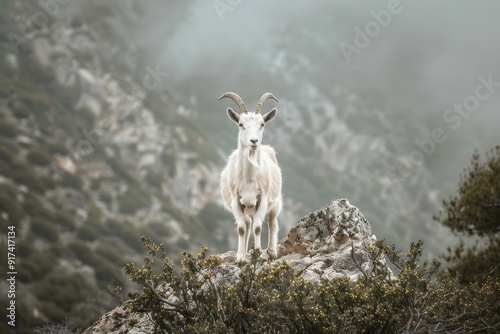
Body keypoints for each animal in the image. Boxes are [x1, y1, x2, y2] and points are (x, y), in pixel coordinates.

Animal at [220, 91, 284, 264]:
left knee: (272, 222)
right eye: (241, 124)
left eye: (262, 124)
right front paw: (241, 258)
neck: (249, 179)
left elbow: (258, 227)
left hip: (275, 202)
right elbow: (242, 229)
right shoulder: (236, 200)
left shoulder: (262, 198)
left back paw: (272, 251)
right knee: (247, 224)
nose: (254, 141)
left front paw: (259, 254)